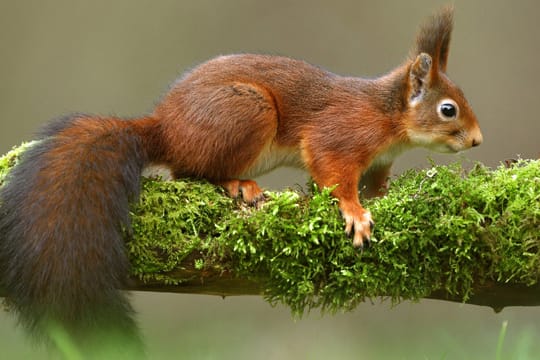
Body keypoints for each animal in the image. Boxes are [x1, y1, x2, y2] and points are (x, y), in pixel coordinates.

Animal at [0, 4, 480, 358]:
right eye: (448, 110)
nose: (477, 140)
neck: (388, 116)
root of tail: (163, 127)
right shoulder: (339, 135)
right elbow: (333, 174)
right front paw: (355, 213)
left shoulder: (380, 161)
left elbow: (375, 185)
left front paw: (378, 197)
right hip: (248, 111)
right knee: (187, 171)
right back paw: (237, 184)